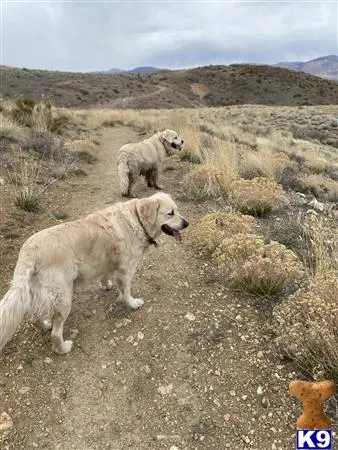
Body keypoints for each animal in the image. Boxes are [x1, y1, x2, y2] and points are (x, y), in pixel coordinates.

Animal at [0, 192, 187, 356]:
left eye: (178, 210)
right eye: (170, 213)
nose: (187, 223)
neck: (137, 221)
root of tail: (29, 251)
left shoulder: (107, 261)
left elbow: (105, 274)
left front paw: (106, 285)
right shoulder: (126, 270)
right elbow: (126, 292)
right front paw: (132, 303)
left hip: (38, 293)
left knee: (34, 318)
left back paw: (46, 325)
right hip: (64, 297)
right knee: (56, 332)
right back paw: (63, 348)